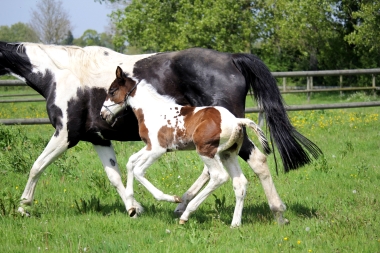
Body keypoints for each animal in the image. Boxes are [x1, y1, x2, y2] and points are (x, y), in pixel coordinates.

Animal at [0, 41, 320, 223]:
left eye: (113, 90)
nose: (105, 111)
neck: (59, 73)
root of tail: (231, 58)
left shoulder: (66, 135)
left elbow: (36, 166)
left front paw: (24, 207)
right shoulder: (99, 139)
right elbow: (115, 176)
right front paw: (134, 208)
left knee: (256, 161)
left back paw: (277, 212)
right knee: (217, 171)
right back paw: (183, 206)